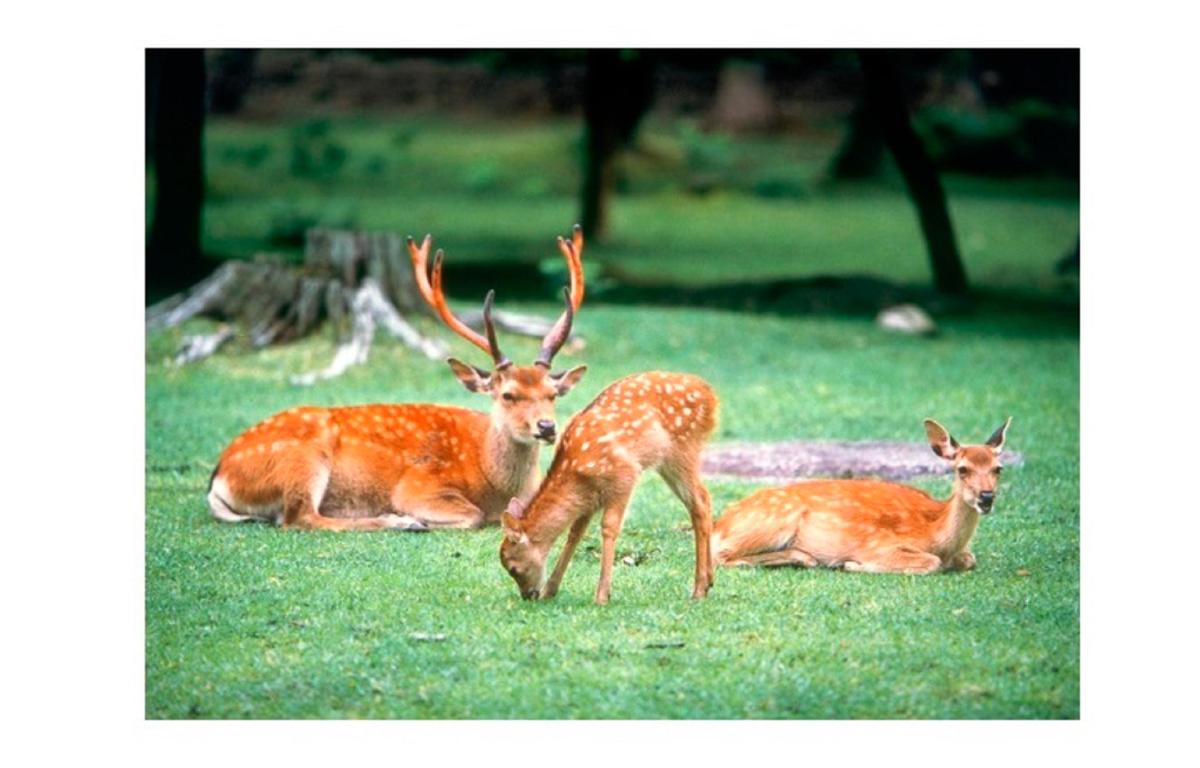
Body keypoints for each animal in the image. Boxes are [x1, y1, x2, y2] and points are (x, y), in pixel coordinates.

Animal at [207, 225, 590, 530]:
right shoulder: (418, 485)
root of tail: (218, 477)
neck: (493, 482)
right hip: (301, 458)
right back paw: (400, 521)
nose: (546, 427)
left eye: (553, 393)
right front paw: (417, 518)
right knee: (299, 517)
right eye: (508, 394)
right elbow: (473, 515)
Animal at [499, 374, 715, 604]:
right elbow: (575, 533)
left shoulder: (624, 475)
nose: (528, 595)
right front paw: (550, 590)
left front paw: (602, 595)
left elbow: (609, 527)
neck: (576, 471)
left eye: (512, 568)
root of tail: (711, 396)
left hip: (682, 448)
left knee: (700, 501)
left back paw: (698, 589)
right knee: (704, 499)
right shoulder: (590, 497)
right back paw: (709, 581)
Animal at [710, 417, 1012, 573]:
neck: (937, 533)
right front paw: (852, 564)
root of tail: (719, 524)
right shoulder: (878, 545)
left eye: (998, 469)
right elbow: (931, 562)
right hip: (772, 522)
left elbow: (969, 559)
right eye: (962, 469)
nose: (986, 497)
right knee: (720, 555)